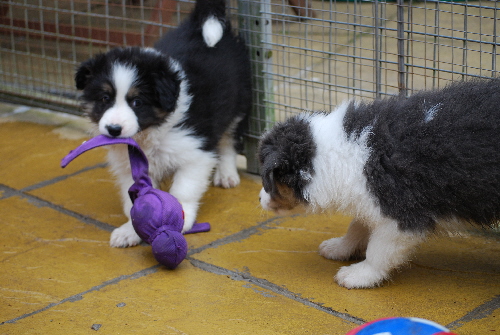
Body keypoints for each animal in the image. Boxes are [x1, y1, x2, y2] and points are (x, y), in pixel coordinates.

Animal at [74, 0, 252, 248]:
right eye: (104, 99)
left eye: (137, 102)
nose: (113, 130)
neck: (151, 133)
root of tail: (197, 23)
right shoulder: (130, 166)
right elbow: (136, 201)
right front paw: (130, 231)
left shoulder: (196, 152)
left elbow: (184, 188)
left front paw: (181, 218)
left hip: (237, 103)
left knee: (228, 140)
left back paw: (226, 174)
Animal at [258, 78, 500, 288]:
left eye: (268, 179)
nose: (259, 198)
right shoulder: (369, 197)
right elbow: (358, 225)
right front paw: (339, 247)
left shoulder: (400, 214)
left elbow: (379, 249)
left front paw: (359, 275)